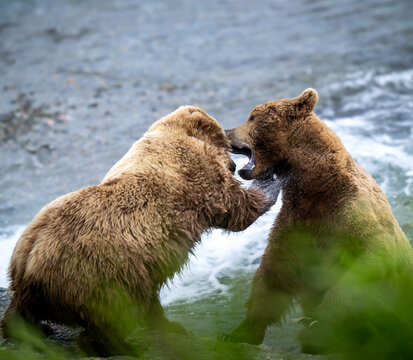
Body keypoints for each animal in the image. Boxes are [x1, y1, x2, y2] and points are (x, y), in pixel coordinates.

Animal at [1, 105, 278, 356]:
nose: (234, 164)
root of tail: (29, 260)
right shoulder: (196, 175)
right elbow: (234, 206)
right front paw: (268, 182)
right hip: (102, 273)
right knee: (117, 314)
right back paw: (122, 346)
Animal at [224, 88, 412, 356]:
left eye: (252, 117)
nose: (227, 132)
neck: (317, 185)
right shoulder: (298, 223)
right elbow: (273, 274)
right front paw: (240, 332)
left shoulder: (350, 213)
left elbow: (370, 260)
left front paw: (316, 327)